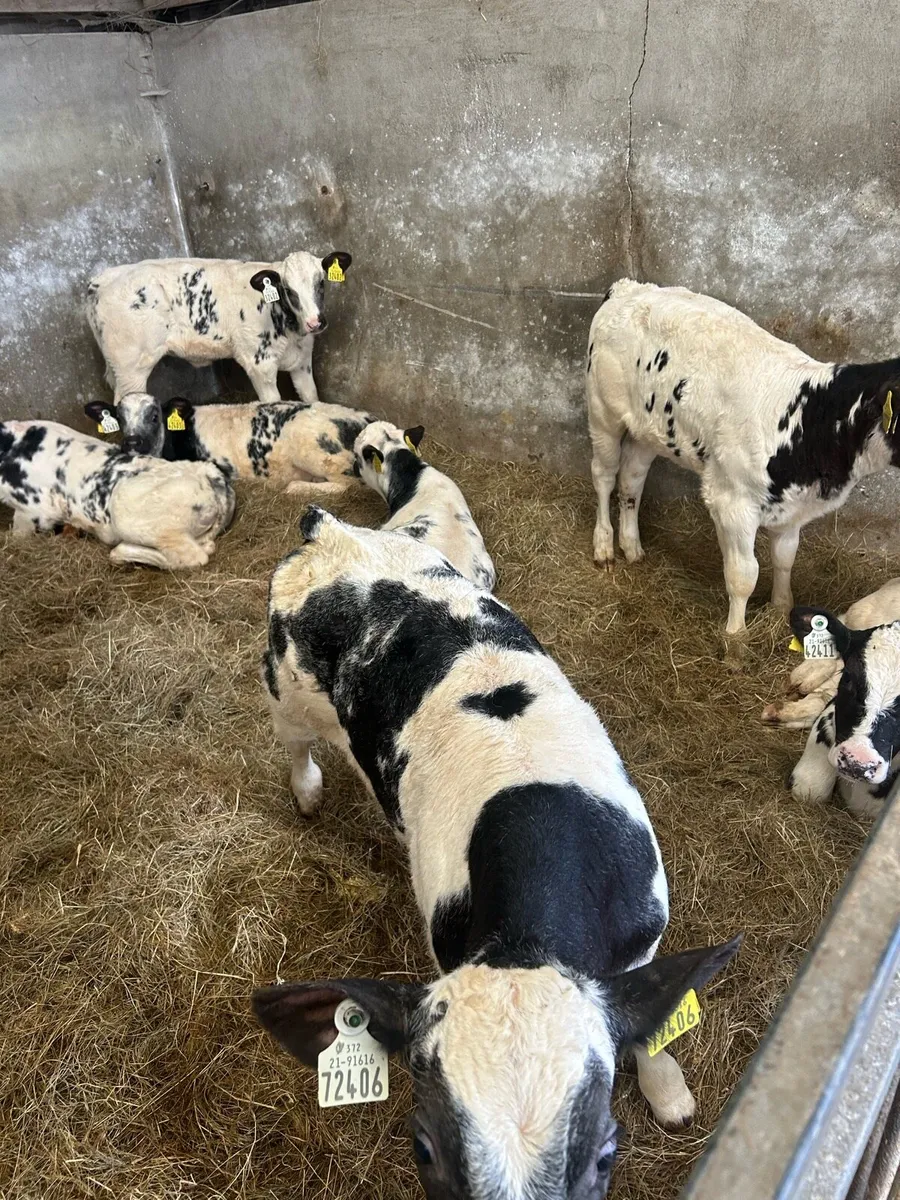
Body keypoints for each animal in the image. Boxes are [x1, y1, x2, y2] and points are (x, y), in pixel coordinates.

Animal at [84, 394, 378, 491]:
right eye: (119, 418)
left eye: (154, 416)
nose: (132, 442)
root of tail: (365, 417)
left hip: (316, 452)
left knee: (345, 485)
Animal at [85, 249, 351, 444]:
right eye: (288, 290)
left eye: (321, 283)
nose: (316, 322)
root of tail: (101, 279)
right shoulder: (258, 364)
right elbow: (272, 403)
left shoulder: (303, 360)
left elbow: (311, 397)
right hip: (131, 367)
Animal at [253, 505, 741, 1200]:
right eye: (422, 1147)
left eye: (606, 1150)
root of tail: (330, 528)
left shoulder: (643, 931)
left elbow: (655, 1015)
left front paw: (669, 1093)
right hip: (283, 690)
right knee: (295, 745)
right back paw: (307, 791)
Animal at [587, 279, 900, 635]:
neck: (808, 417)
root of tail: (631, 287)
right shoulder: (734, 502)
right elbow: (743, 575)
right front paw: (736, 635)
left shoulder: (793, 506)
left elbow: (784, 558)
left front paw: (781, 608)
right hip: (602, 412)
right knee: (604, 475)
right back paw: (604, 547)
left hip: (647, 431)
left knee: (631, 480)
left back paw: (632, 547)